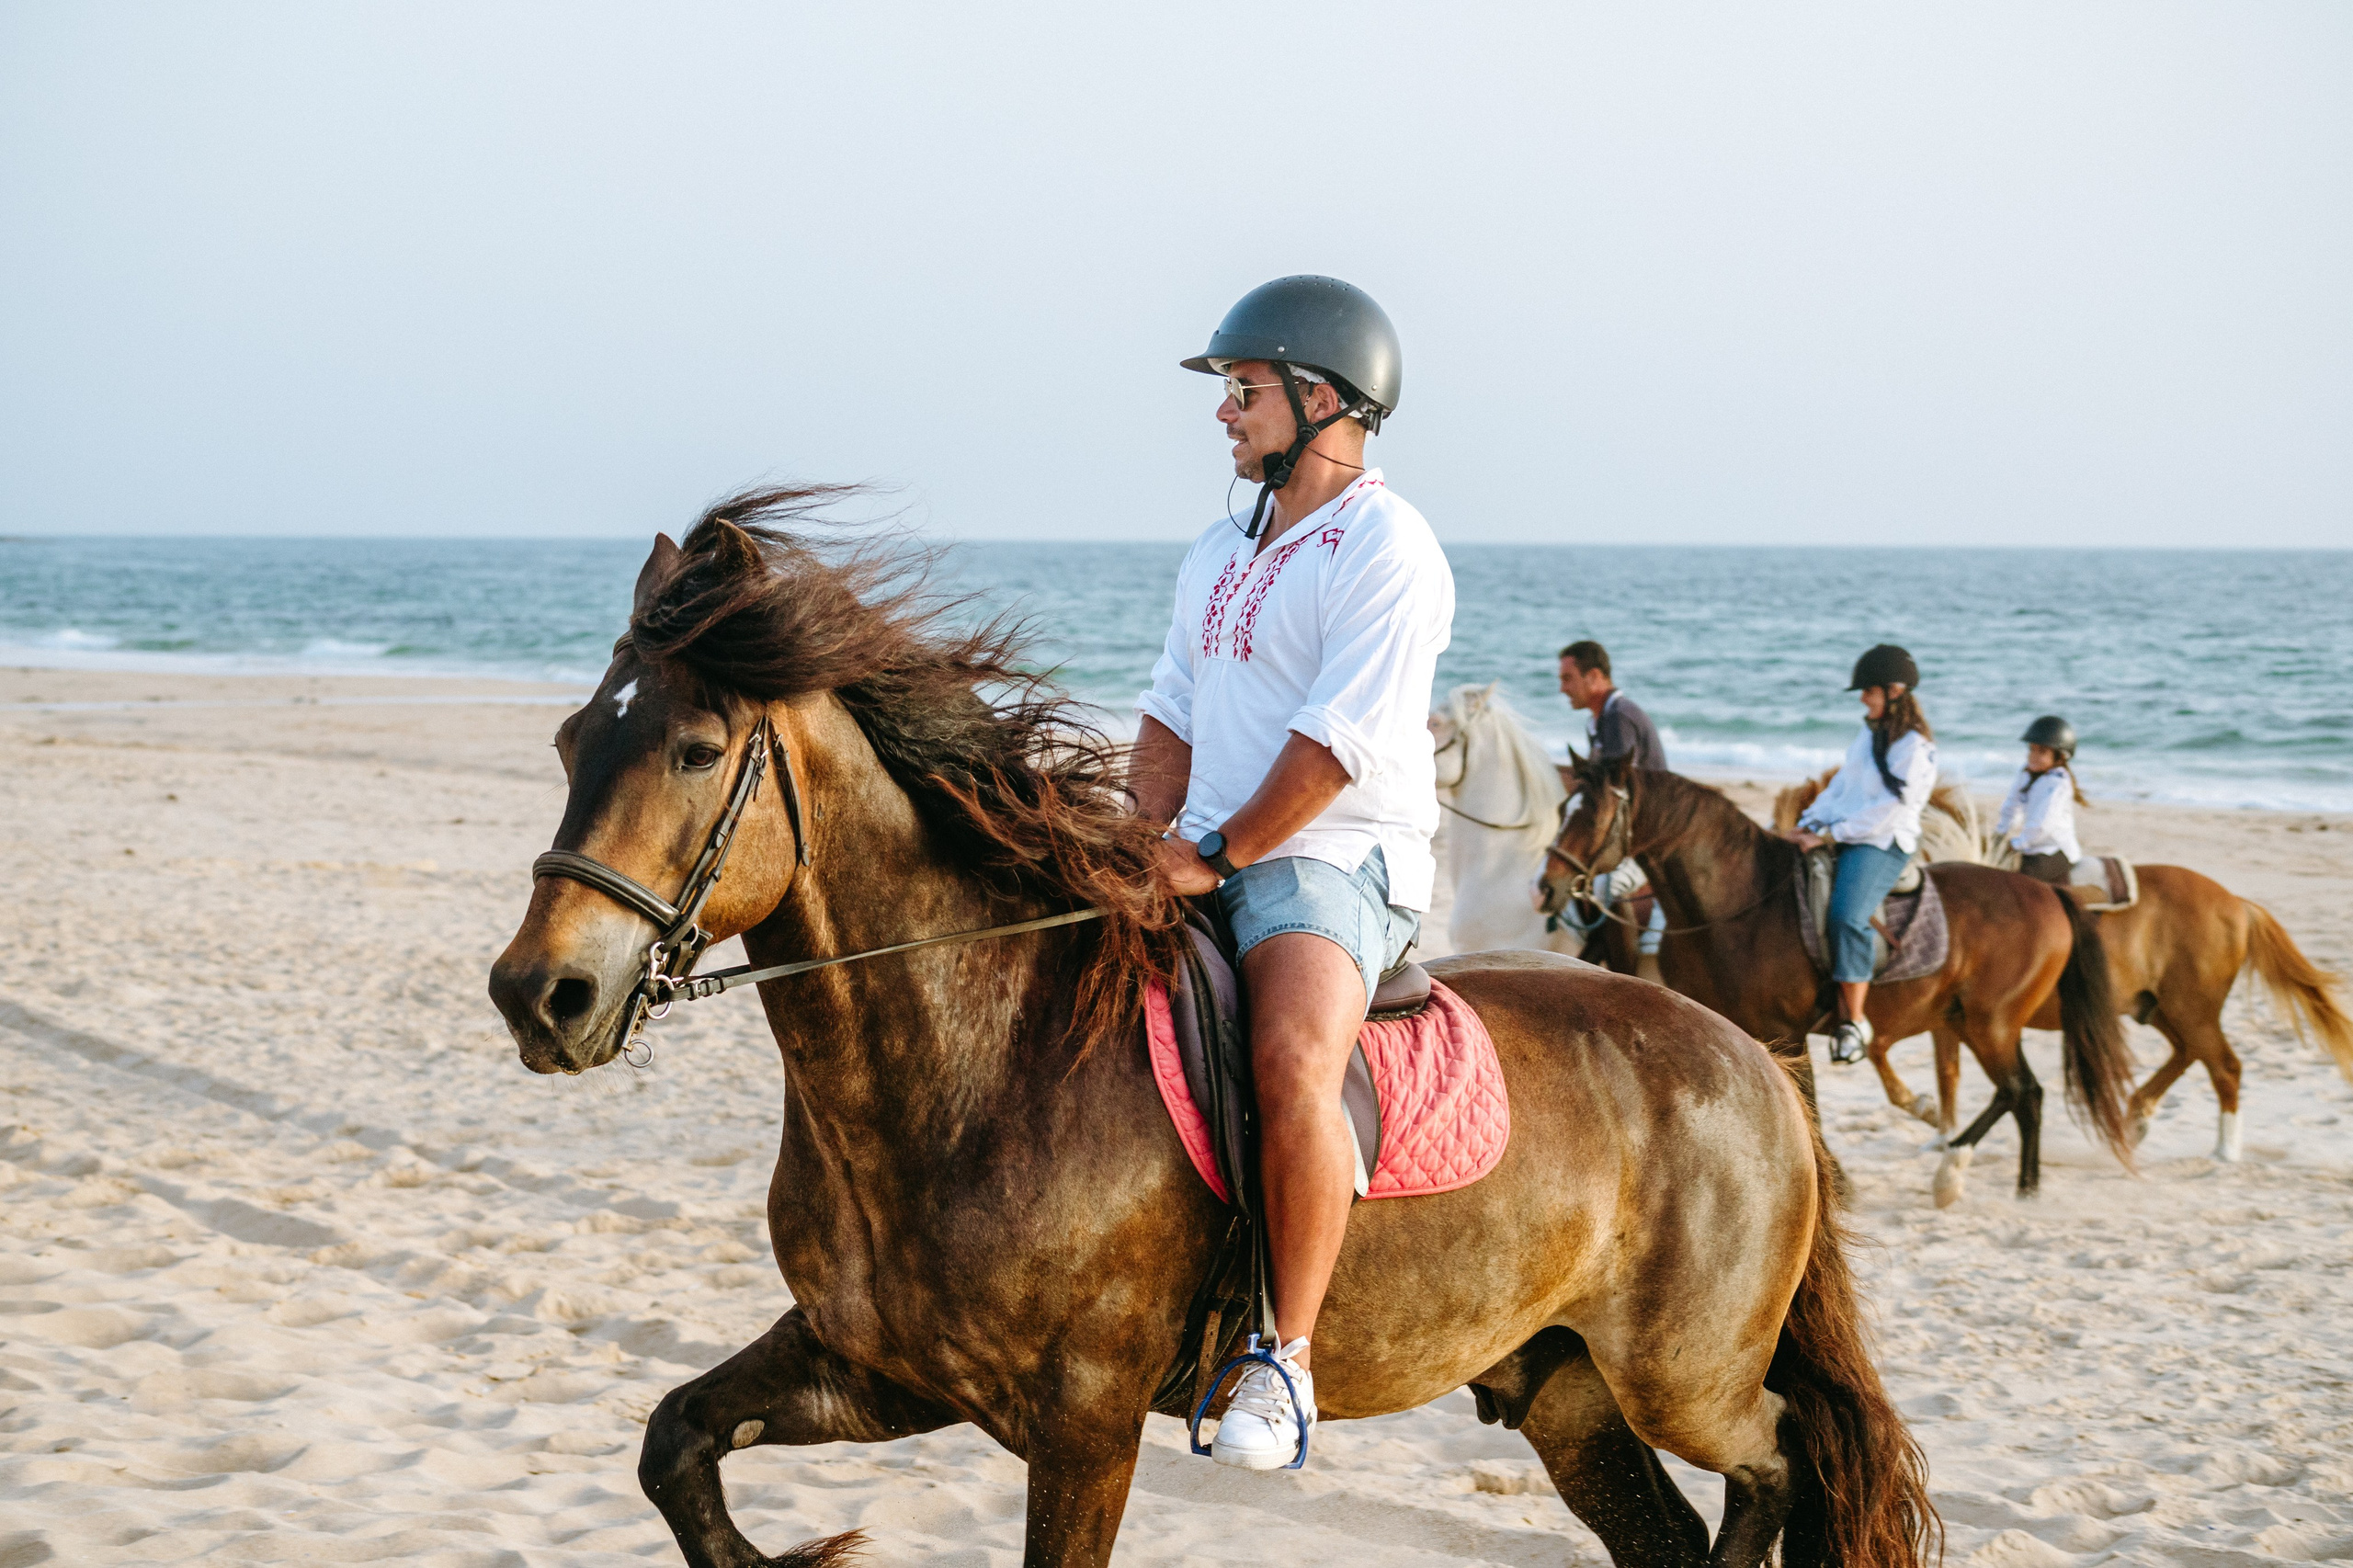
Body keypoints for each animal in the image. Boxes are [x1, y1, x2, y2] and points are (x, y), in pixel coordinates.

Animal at [1539, 754, 2140, 1208]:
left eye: (1594, 813)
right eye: (1564, 807)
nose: (1547, 887)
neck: (1739, 903)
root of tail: (2049, 894)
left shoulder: (1785, 1032)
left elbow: (1808, 1105)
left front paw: (1836, 1183)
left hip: (1989, 1022)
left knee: (2022, 1092)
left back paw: (1969, 1177)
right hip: (1974, 1021)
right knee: (2023, 1095)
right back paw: (2016, 1185)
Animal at [1774, 772, 2353, 1162]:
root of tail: (2236, 902)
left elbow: (1900, 1058)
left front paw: (1938, 1127)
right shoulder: (1949, 1019)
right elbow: (1944, 1073)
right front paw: (1940, 1132)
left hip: (2191, 1007)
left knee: (2224, 1065)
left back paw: (2223, 1151)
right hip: (2158, 1007)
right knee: (2188, 1054)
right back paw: (2139, 1115)